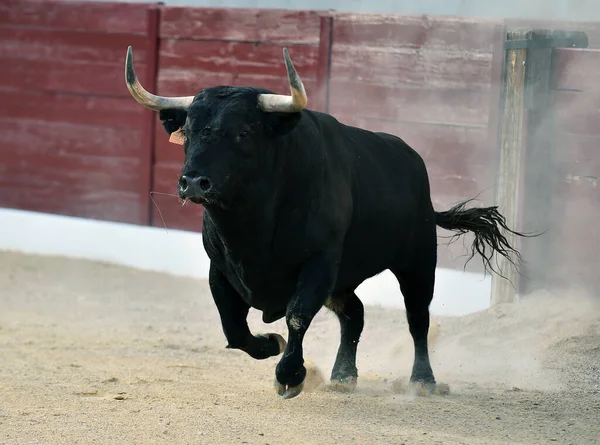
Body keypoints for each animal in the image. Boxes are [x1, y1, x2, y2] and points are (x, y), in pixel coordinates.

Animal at [125, 46, 528, 398]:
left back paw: (423, 381)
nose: (193, 181)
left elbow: (297, 315)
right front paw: (271, 344)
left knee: (417, 318)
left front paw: (290, 377)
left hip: (417, 260)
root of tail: (412, 159)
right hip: (345, 278)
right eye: (189, 132)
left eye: (244, 132)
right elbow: (234, 328)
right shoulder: (220, 269)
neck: (251, 228)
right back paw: (343, 376)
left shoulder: (319, 261)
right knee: (355, 314)